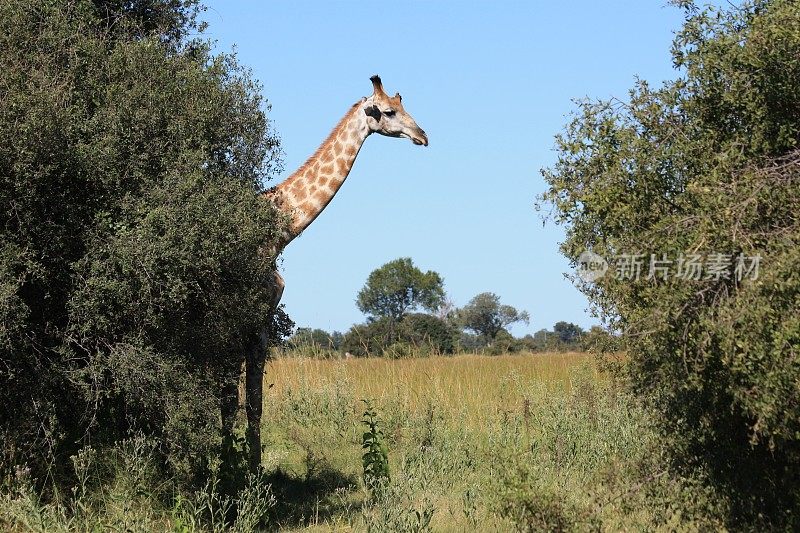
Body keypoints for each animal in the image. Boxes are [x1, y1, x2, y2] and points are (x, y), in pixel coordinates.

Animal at [230, 76, 424, 470]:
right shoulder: (249, 313)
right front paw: (246, 470)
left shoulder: (262, 316)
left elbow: (252, 401)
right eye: (389, 111)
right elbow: (242, 399)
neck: (280, 234)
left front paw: (250, 464)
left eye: (404, 104)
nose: (423, 135)